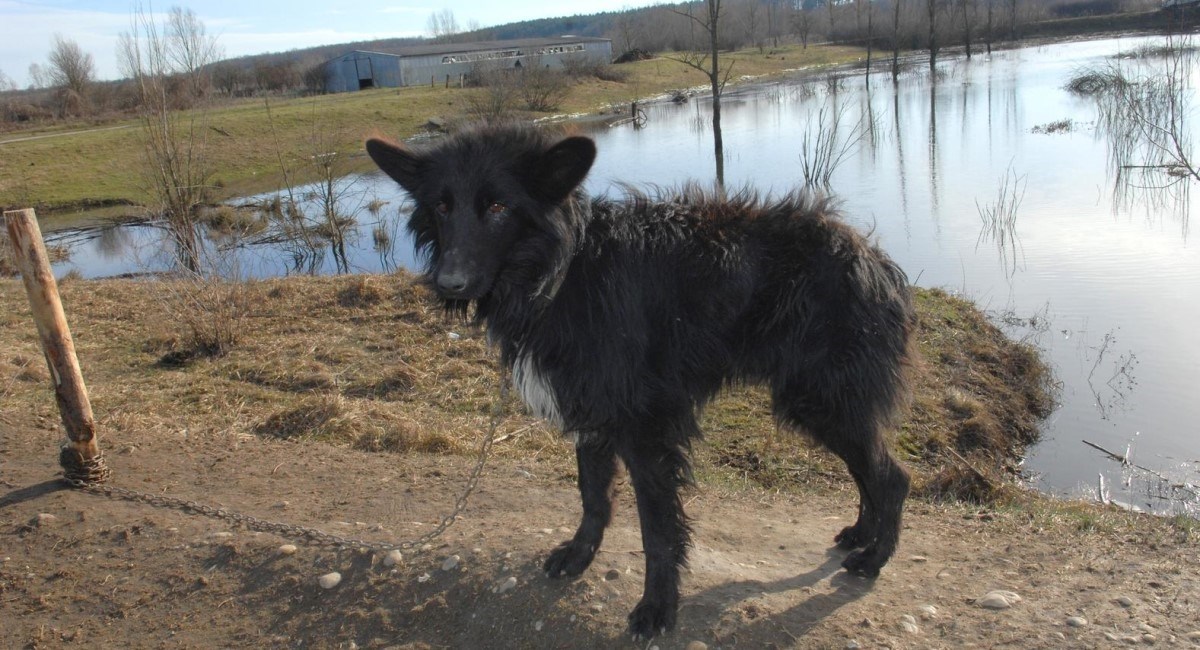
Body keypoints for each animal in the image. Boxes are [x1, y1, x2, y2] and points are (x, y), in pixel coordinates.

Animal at [362, 123, 907, 642]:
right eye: (441, 206)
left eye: (498, 206)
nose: (448, 283)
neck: (563, 271)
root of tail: (872, 258)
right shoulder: (592, 413)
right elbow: (592, 495)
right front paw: (580, 555)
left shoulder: (645, 429)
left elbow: (657, 530)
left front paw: (657, 608)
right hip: (825, 402)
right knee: (868, 472)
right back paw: (861, 534)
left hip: (821, 398)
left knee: (891, 477)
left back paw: (874, 557)